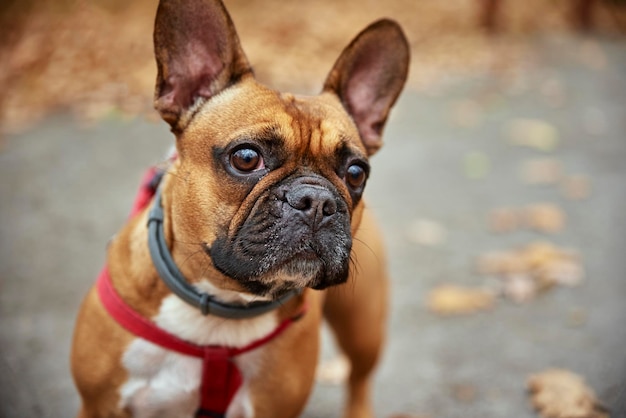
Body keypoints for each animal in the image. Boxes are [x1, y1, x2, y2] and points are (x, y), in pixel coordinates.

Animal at [70, 0, 410, 416]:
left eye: (356, 173)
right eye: (246, 158)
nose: (318, 201)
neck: (221, 315)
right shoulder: (98, 404)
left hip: (361, 325)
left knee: (359, 378)